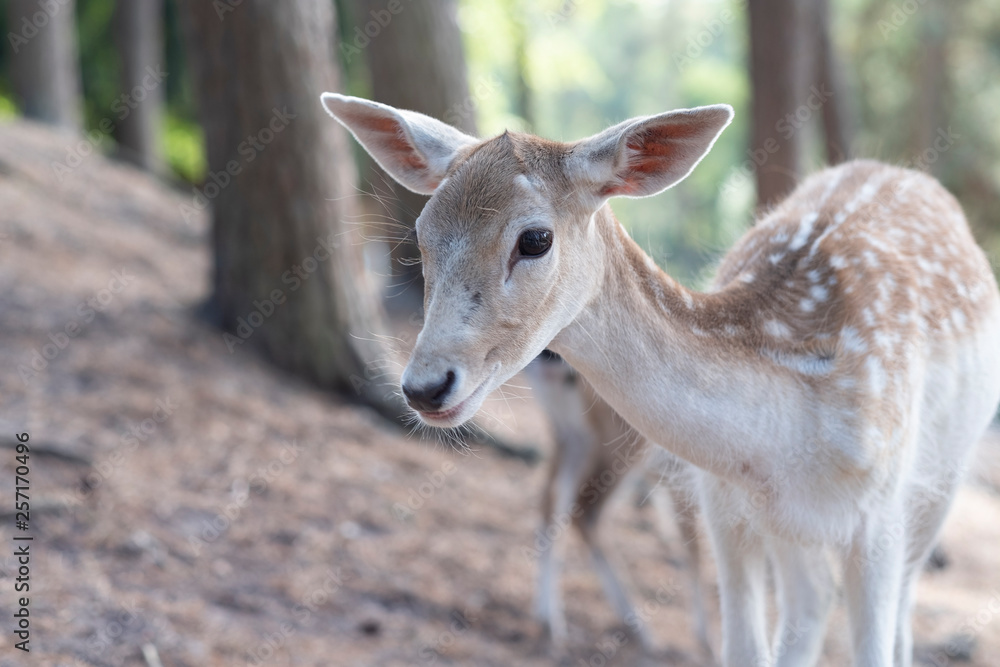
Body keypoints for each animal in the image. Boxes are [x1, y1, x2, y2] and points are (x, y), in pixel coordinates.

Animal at [524, 349, 709, 653]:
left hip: (570, 433)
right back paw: (642, 630)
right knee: (585, 511)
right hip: (620, 436)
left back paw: (550, 622)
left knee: (551, 499)